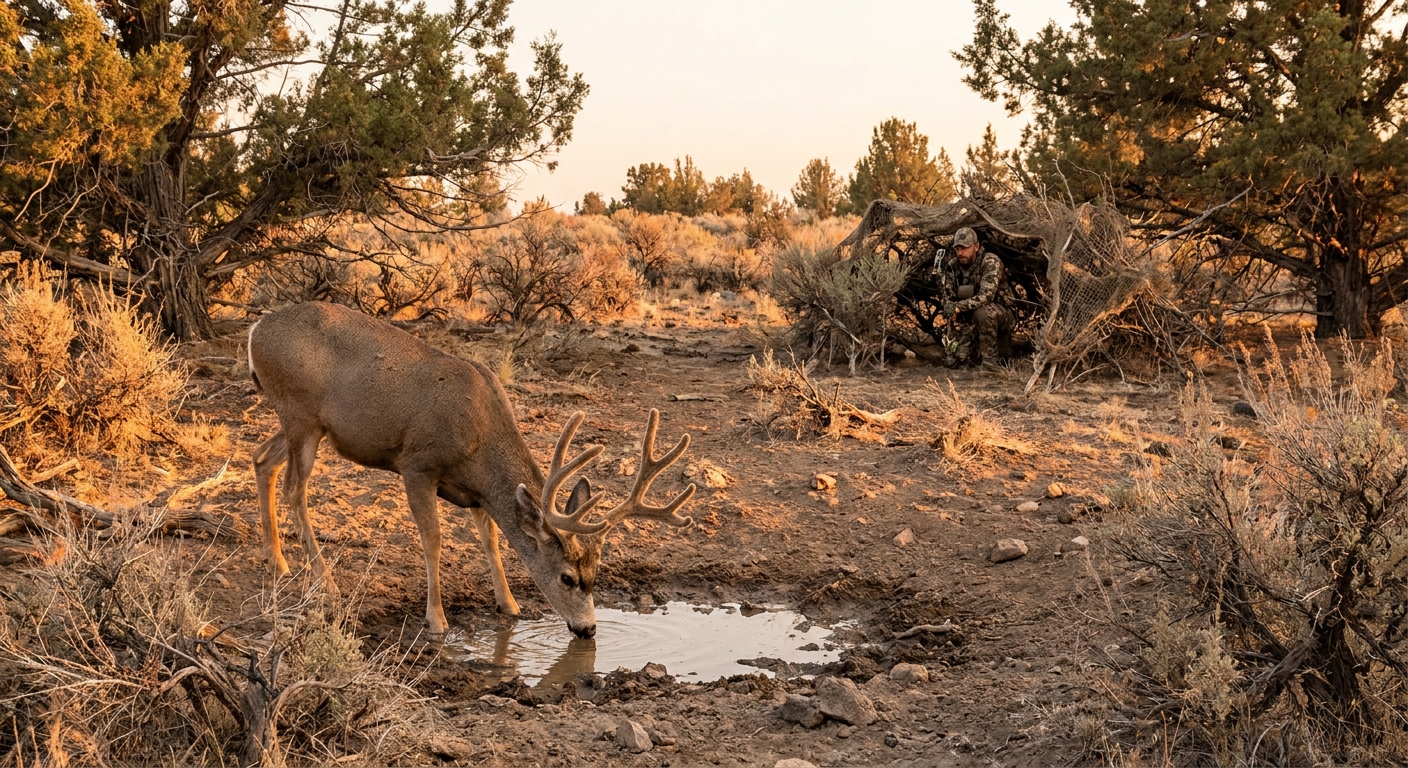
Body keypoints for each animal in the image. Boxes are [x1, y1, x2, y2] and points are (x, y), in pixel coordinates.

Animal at [246, 302, 696, 639]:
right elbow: (434, 539)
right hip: (300, 411)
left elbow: (491, 540)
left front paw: (509, 605)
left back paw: (277, 561)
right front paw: (437, 620)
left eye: (596, 572)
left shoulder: (477, 493)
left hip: (303, 422)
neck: (480, 437)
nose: (588, 630)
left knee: (262, 457)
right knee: (295, 488)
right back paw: (325, 581)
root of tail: (255, 330)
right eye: (568, 577)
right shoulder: (417, 464)